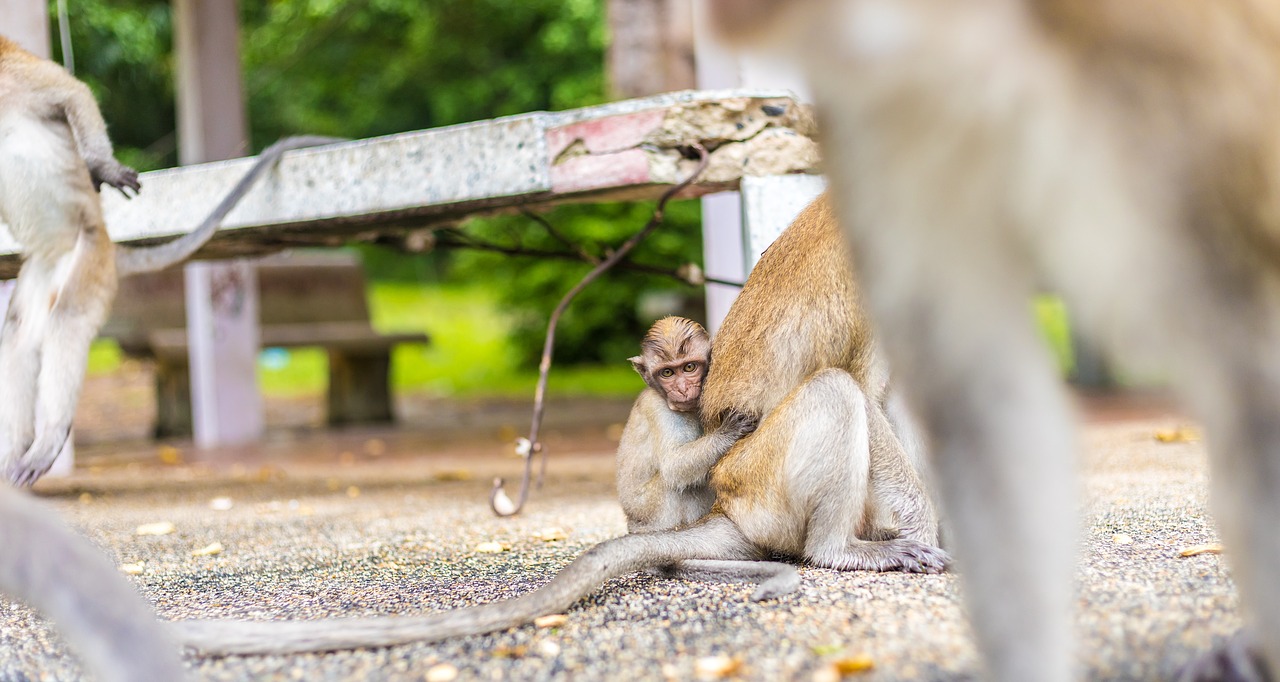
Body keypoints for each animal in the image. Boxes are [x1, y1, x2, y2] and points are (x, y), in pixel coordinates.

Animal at [0, 34, 340, 483]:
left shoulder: (19, 73)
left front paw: (103, 167)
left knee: (66, 319)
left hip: (87, 257)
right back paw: (14, 453)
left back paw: (48, 441)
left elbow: (75, 93)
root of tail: (106, 247)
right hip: (44, 268)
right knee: (18, 333)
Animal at [616, 313, 793, 596]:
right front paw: (728, 432)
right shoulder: (660, 410)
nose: (682, 389)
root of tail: (632, 525)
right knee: (677, 484)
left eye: (689, 367)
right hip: (648, 511)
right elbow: (675, 466)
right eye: (667, 372)